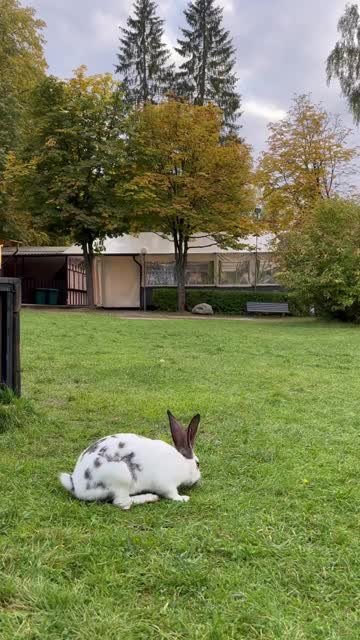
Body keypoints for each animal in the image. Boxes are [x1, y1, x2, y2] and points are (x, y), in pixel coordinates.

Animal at [58, 412, 200, 512]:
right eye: (198, 464)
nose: (198, 480)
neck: (182, 463)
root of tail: (78, 486)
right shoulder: (166, 484)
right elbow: (172, 495)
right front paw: (183, 498)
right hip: (121, 477)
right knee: (122, 502)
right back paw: (150, 497)